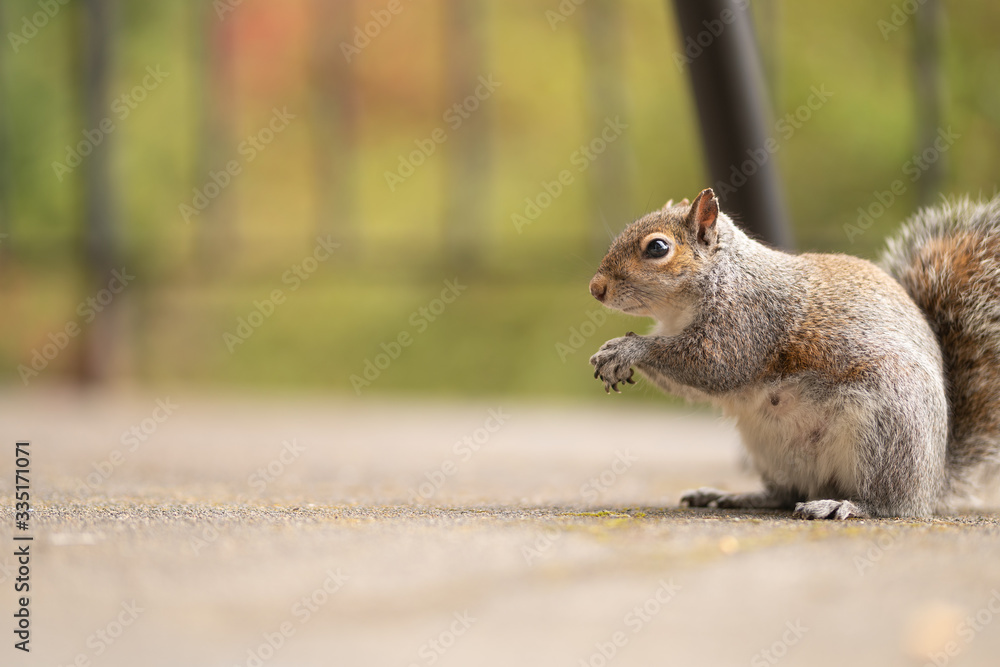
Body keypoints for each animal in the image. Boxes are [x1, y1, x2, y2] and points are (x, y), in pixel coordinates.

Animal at [588, 188, 1000, 519]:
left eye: (657, 248)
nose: (596, 288)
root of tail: (933, 483)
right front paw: (611, 353)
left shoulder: (748, 321)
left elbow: (713, 365)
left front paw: (627, 348)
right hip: (769, 449)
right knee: (785, 494)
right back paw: (735, 496)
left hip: (889, 429)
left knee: (888, 503)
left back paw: (842, 504)